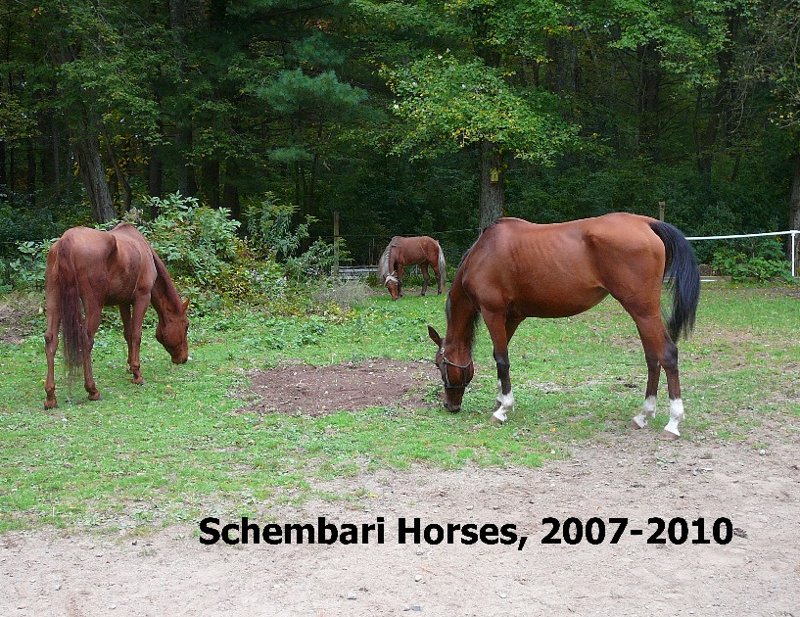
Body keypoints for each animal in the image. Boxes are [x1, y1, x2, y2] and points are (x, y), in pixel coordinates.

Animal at [43, 223, 189, 409]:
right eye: (186, 326)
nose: (183, 358)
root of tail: (66, 240)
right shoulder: (142, 297)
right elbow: (136, 335)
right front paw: (137, 373)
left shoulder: (123, 302)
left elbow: (127, 334)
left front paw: (129, 367)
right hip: (93, 304)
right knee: (86, 340)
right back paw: (92, 390)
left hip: (54, 299)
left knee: (51, 340)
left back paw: (50, 396)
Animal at [427, 213, 700, 439]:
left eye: (440, 364)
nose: (449, 406)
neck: (484, 253)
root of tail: (646, 222)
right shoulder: (512, 318)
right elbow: (499, 359)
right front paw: (501, 400)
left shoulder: (493, 313)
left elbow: (502, 359)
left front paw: (502, 409)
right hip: (641, 314)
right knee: (653, 358)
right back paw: (643, 416)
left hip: (643, 311)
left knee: (667, 354)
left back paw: (673, 423)